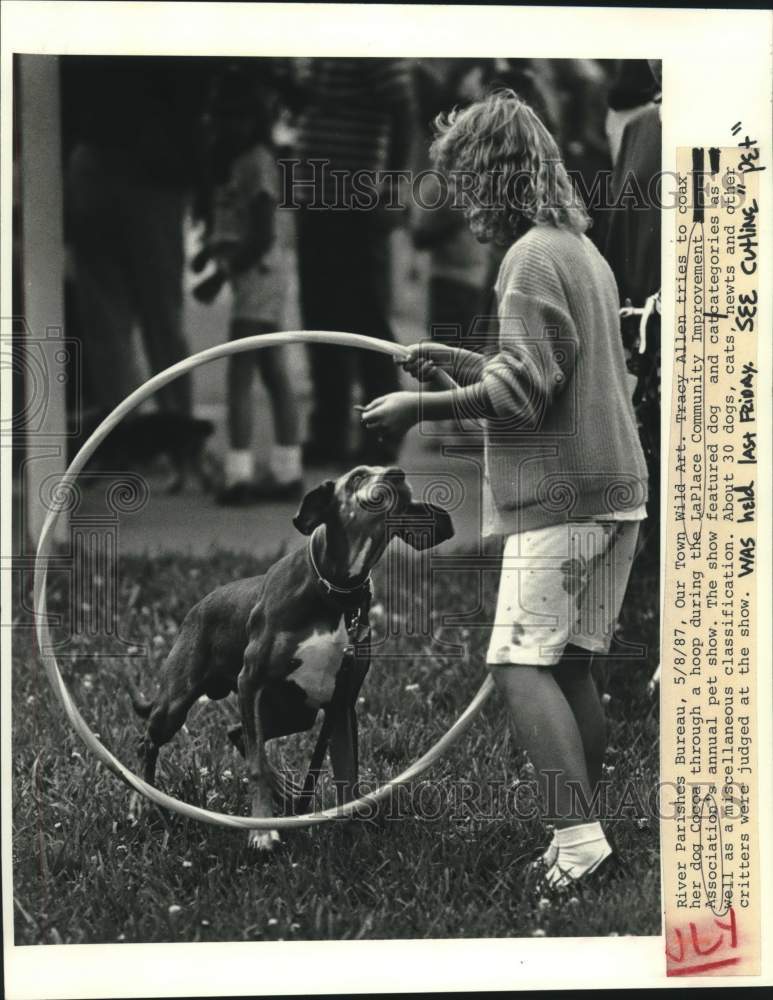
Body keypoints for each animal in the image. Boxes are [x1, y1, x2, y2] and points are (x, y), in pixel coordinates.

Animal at [127, 464, 452, 848]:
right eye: (358, 476)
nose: (397, 474)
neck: (334, 591)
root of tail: (198, 608)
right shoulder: (251, 682)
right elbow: (255, 765)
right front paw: (262, 830)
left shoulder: (341, 704)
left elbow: (347, 774)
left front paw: (354, 835)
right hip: (176, 703)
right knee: (149, 743)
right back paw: (142, 807)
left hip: (299, 712)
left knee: (239, 733)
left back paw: (286, 791)